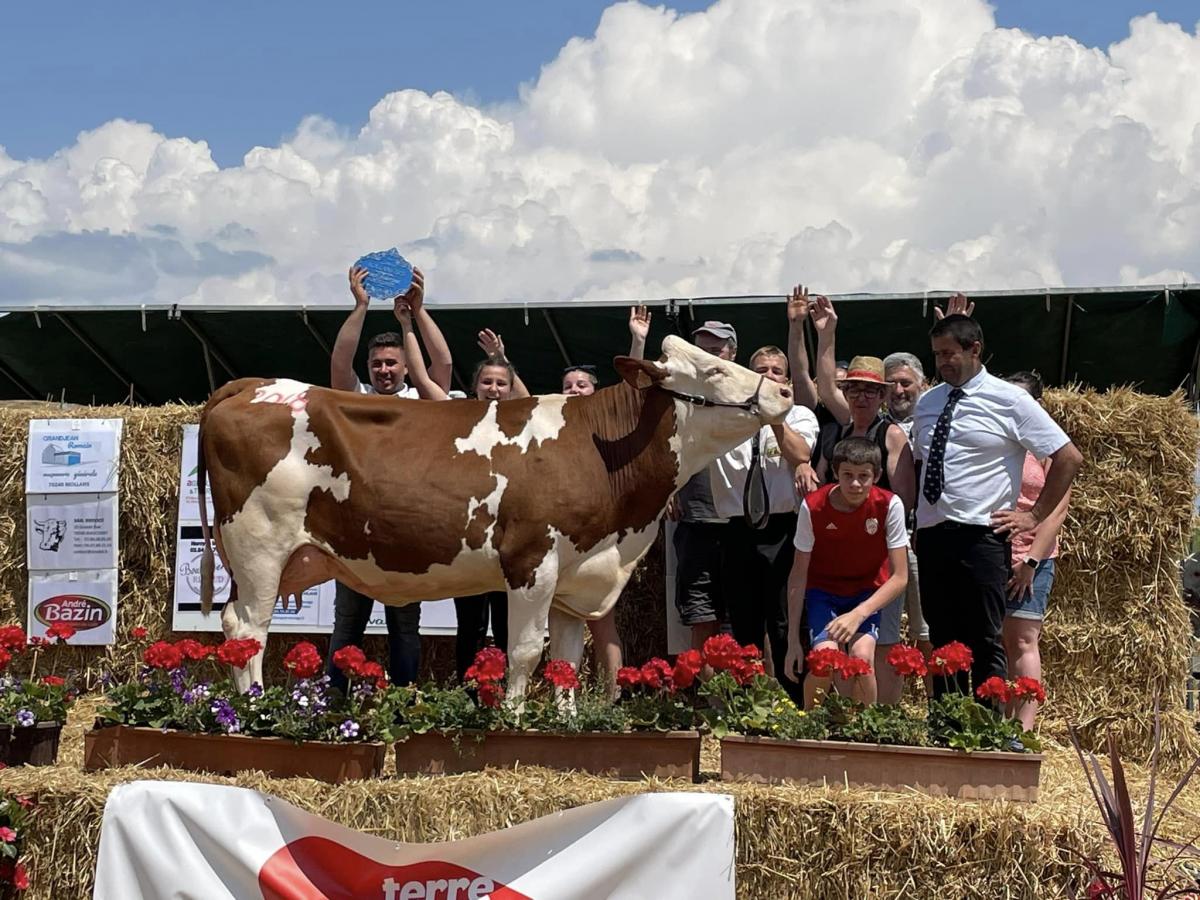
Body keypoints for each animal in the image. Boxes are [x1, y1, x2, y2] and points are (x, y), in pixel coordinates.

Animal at [198, 338, 796, 696]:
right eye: (714, 369)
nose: (786, 389)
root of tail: (251, 384)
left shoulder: (577, 575)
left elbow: (566, 660)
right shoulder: (532, 560)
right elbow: (526, 653)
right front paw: (514, 721)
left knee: (237, 625)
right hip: (259, 546)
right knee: (247, 629)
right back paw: (252, 712)